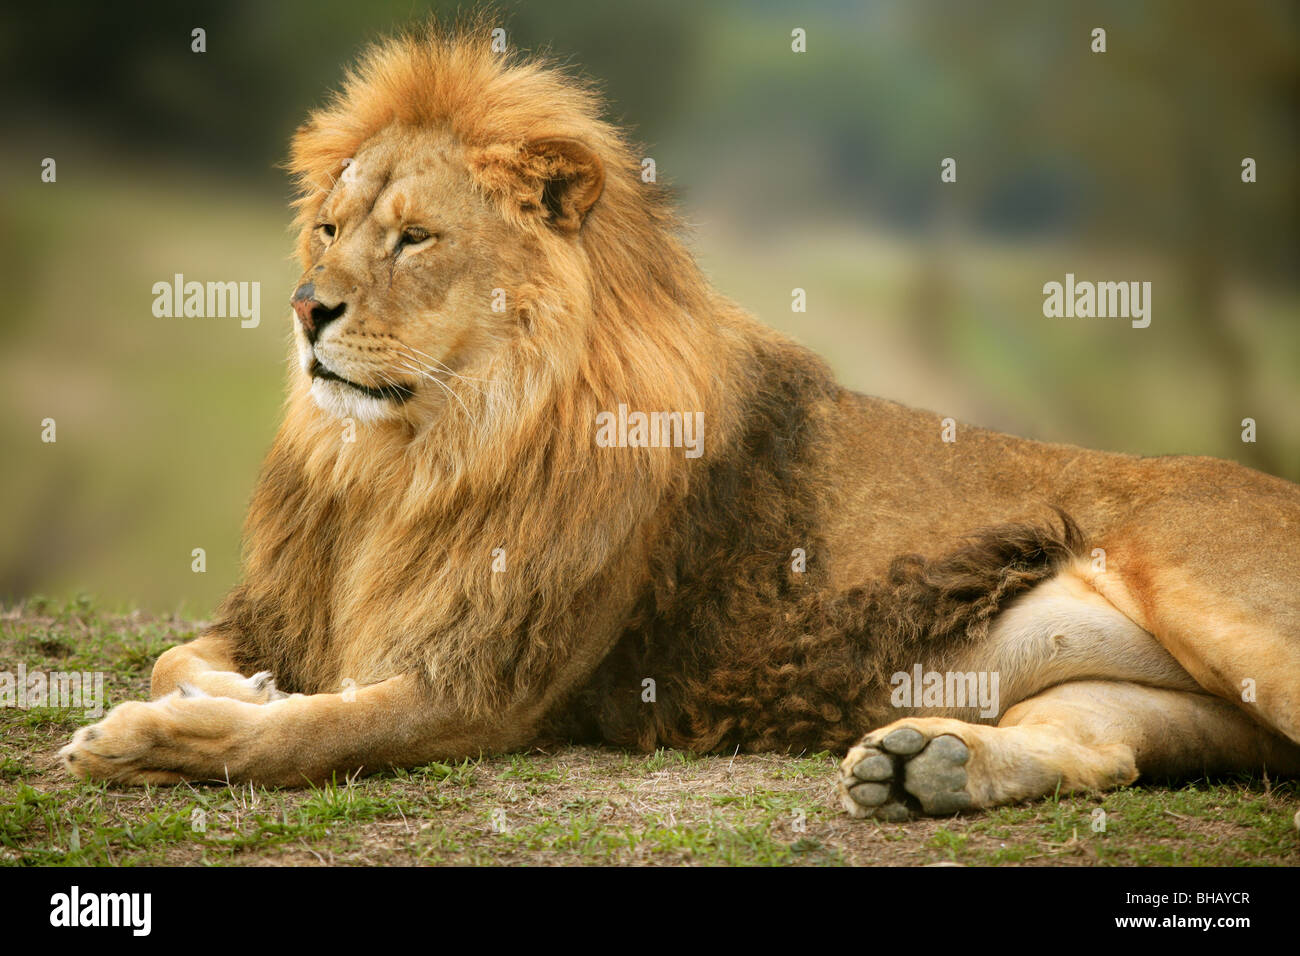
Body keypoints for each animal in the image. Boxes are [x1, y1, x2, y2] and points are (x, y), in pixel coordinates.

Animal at [58, 22, 1300, 816]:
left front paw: (155, 739)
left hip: (1213, 594)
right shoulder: (303, 605)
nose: (307, 308)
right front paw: (232, 688)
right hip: (1131, 696)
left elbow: (314, 731)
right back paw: (923, 768)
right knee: (1107, 753)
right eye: (328, 226)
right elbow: (178, 655)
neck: (416, 453)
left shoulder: (490, 685)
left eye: (413, 238)